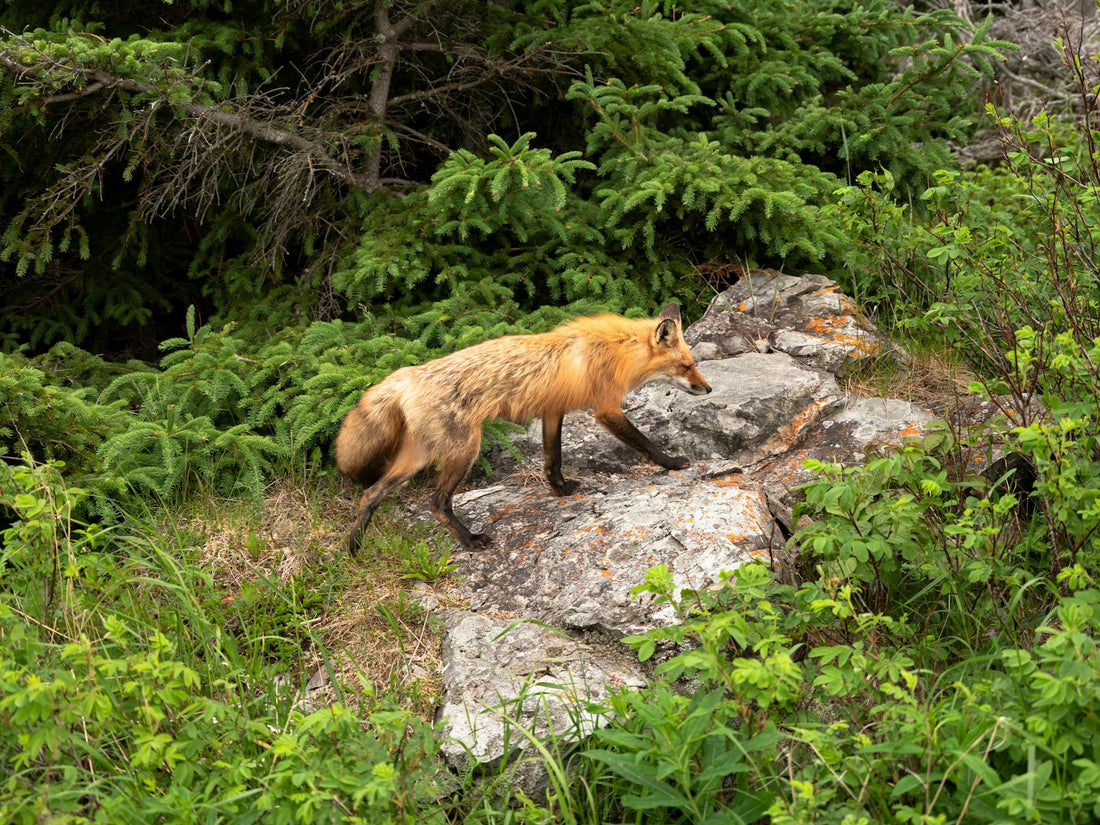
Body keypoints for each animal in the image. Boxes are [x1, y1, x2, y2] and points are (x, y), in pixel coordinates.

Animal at [335, 302, 712, 552]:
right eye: (686, 366)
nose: (708, 389)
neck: (617, 351)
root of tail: (406, 375)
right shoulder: (606, 409)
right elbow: (645, 443)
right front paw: (673, 463)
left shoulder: (553, 410)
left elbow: (552, 459)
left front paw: (561, 490)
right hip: (464, 450)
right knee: (437, 503)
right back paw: (471, 540)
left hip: (418, 455)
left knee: (371, 494)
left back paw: (354, 548)